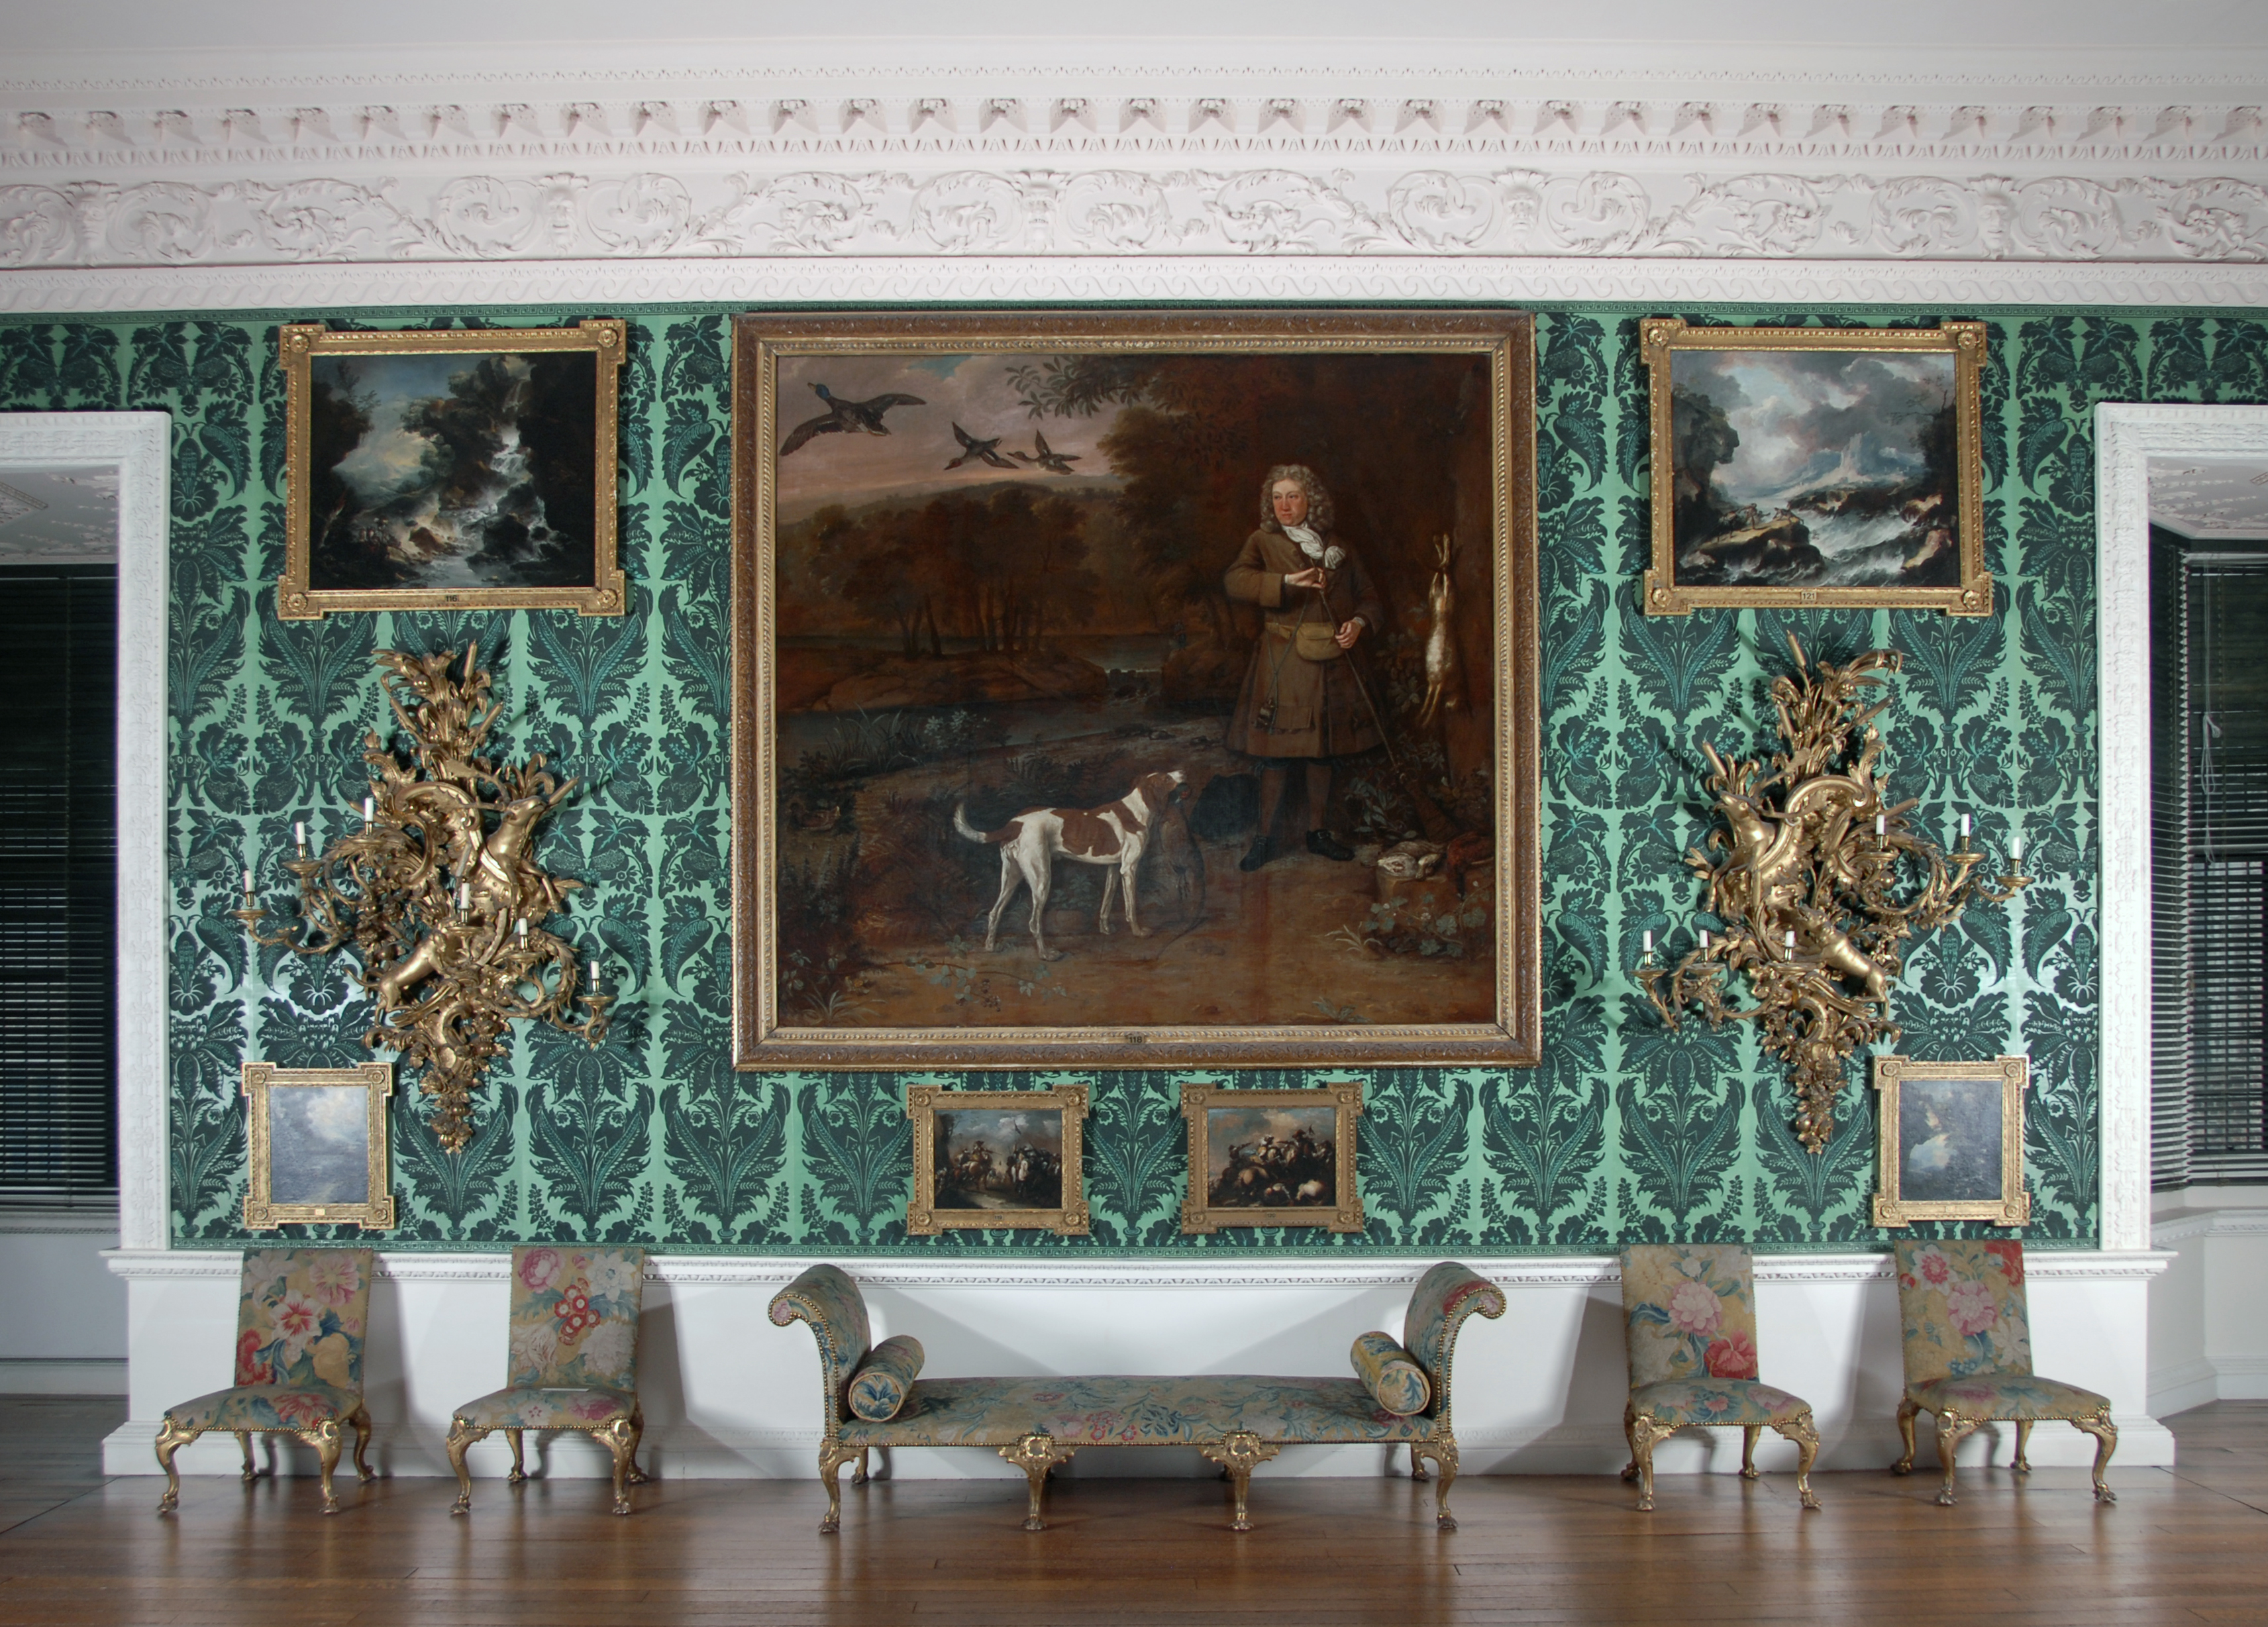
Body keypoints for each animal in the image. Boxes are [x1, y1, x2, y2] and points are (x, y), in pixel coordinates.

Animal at [952, 770, 1186, 961]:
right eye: (1166, 778)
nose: (1182, 772)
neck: (1137, 808)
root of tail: (1014, 824)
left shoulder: (1114, 869)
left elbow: (1106, 904)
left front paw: (1105, 929)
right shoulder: (1129, 869)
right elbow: (1131, 907)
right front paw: (1139, 932)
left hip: (1012, 878)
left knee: (995, 912)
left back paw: (990, 947)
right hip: (1041, 879)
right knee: (1033, 923)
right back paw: (1046, 955)